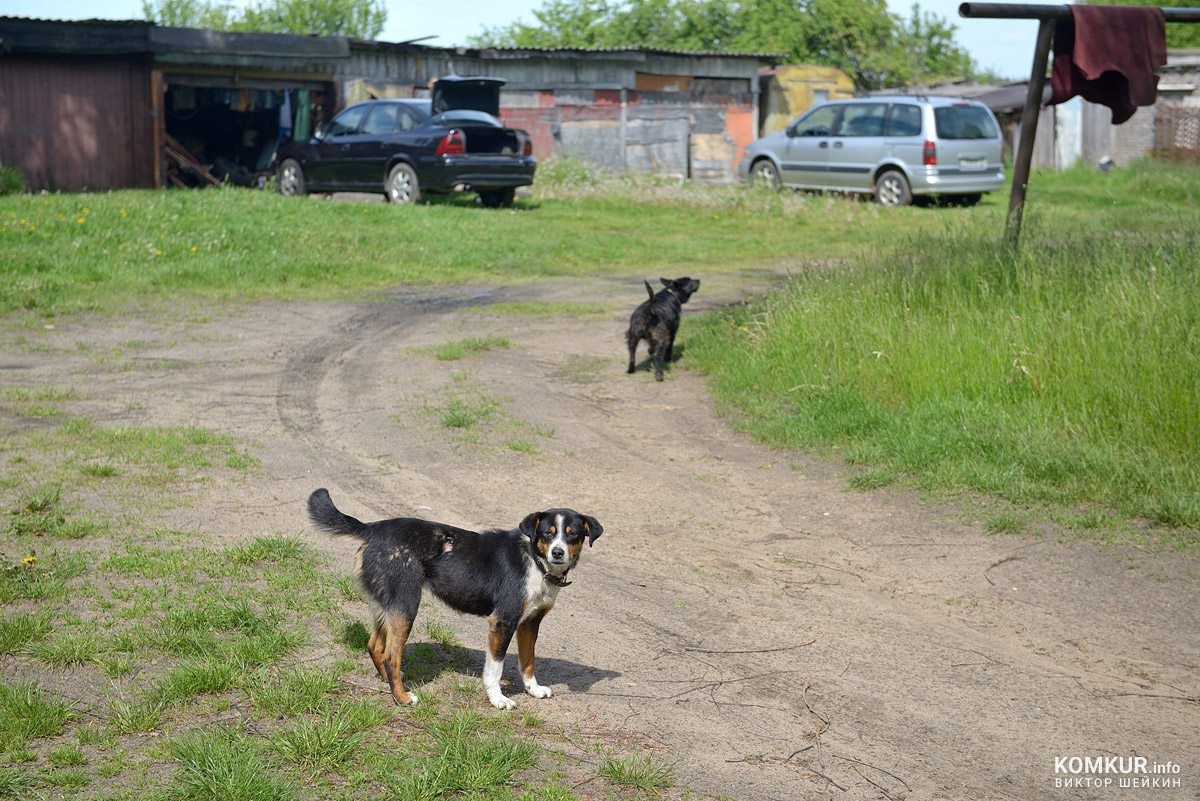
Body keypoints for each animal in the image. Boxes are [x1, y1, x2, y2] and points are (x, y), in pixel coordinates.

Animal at [309, 489, 600, 705]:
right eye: (547, 533)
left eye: (573, 534)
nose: (558, 553)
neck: (535, 561)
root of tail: (372, 528)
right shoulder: (503, 622)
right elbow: (496, 668)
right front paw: (498, 700)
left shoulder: (530, 623)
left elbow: (528, 662)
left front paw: (533, 689)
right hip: (406, 605)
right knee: (391, 654)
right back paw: (402, 697)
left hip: (389, 606)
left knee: (375, 647)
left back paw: (390, 682)